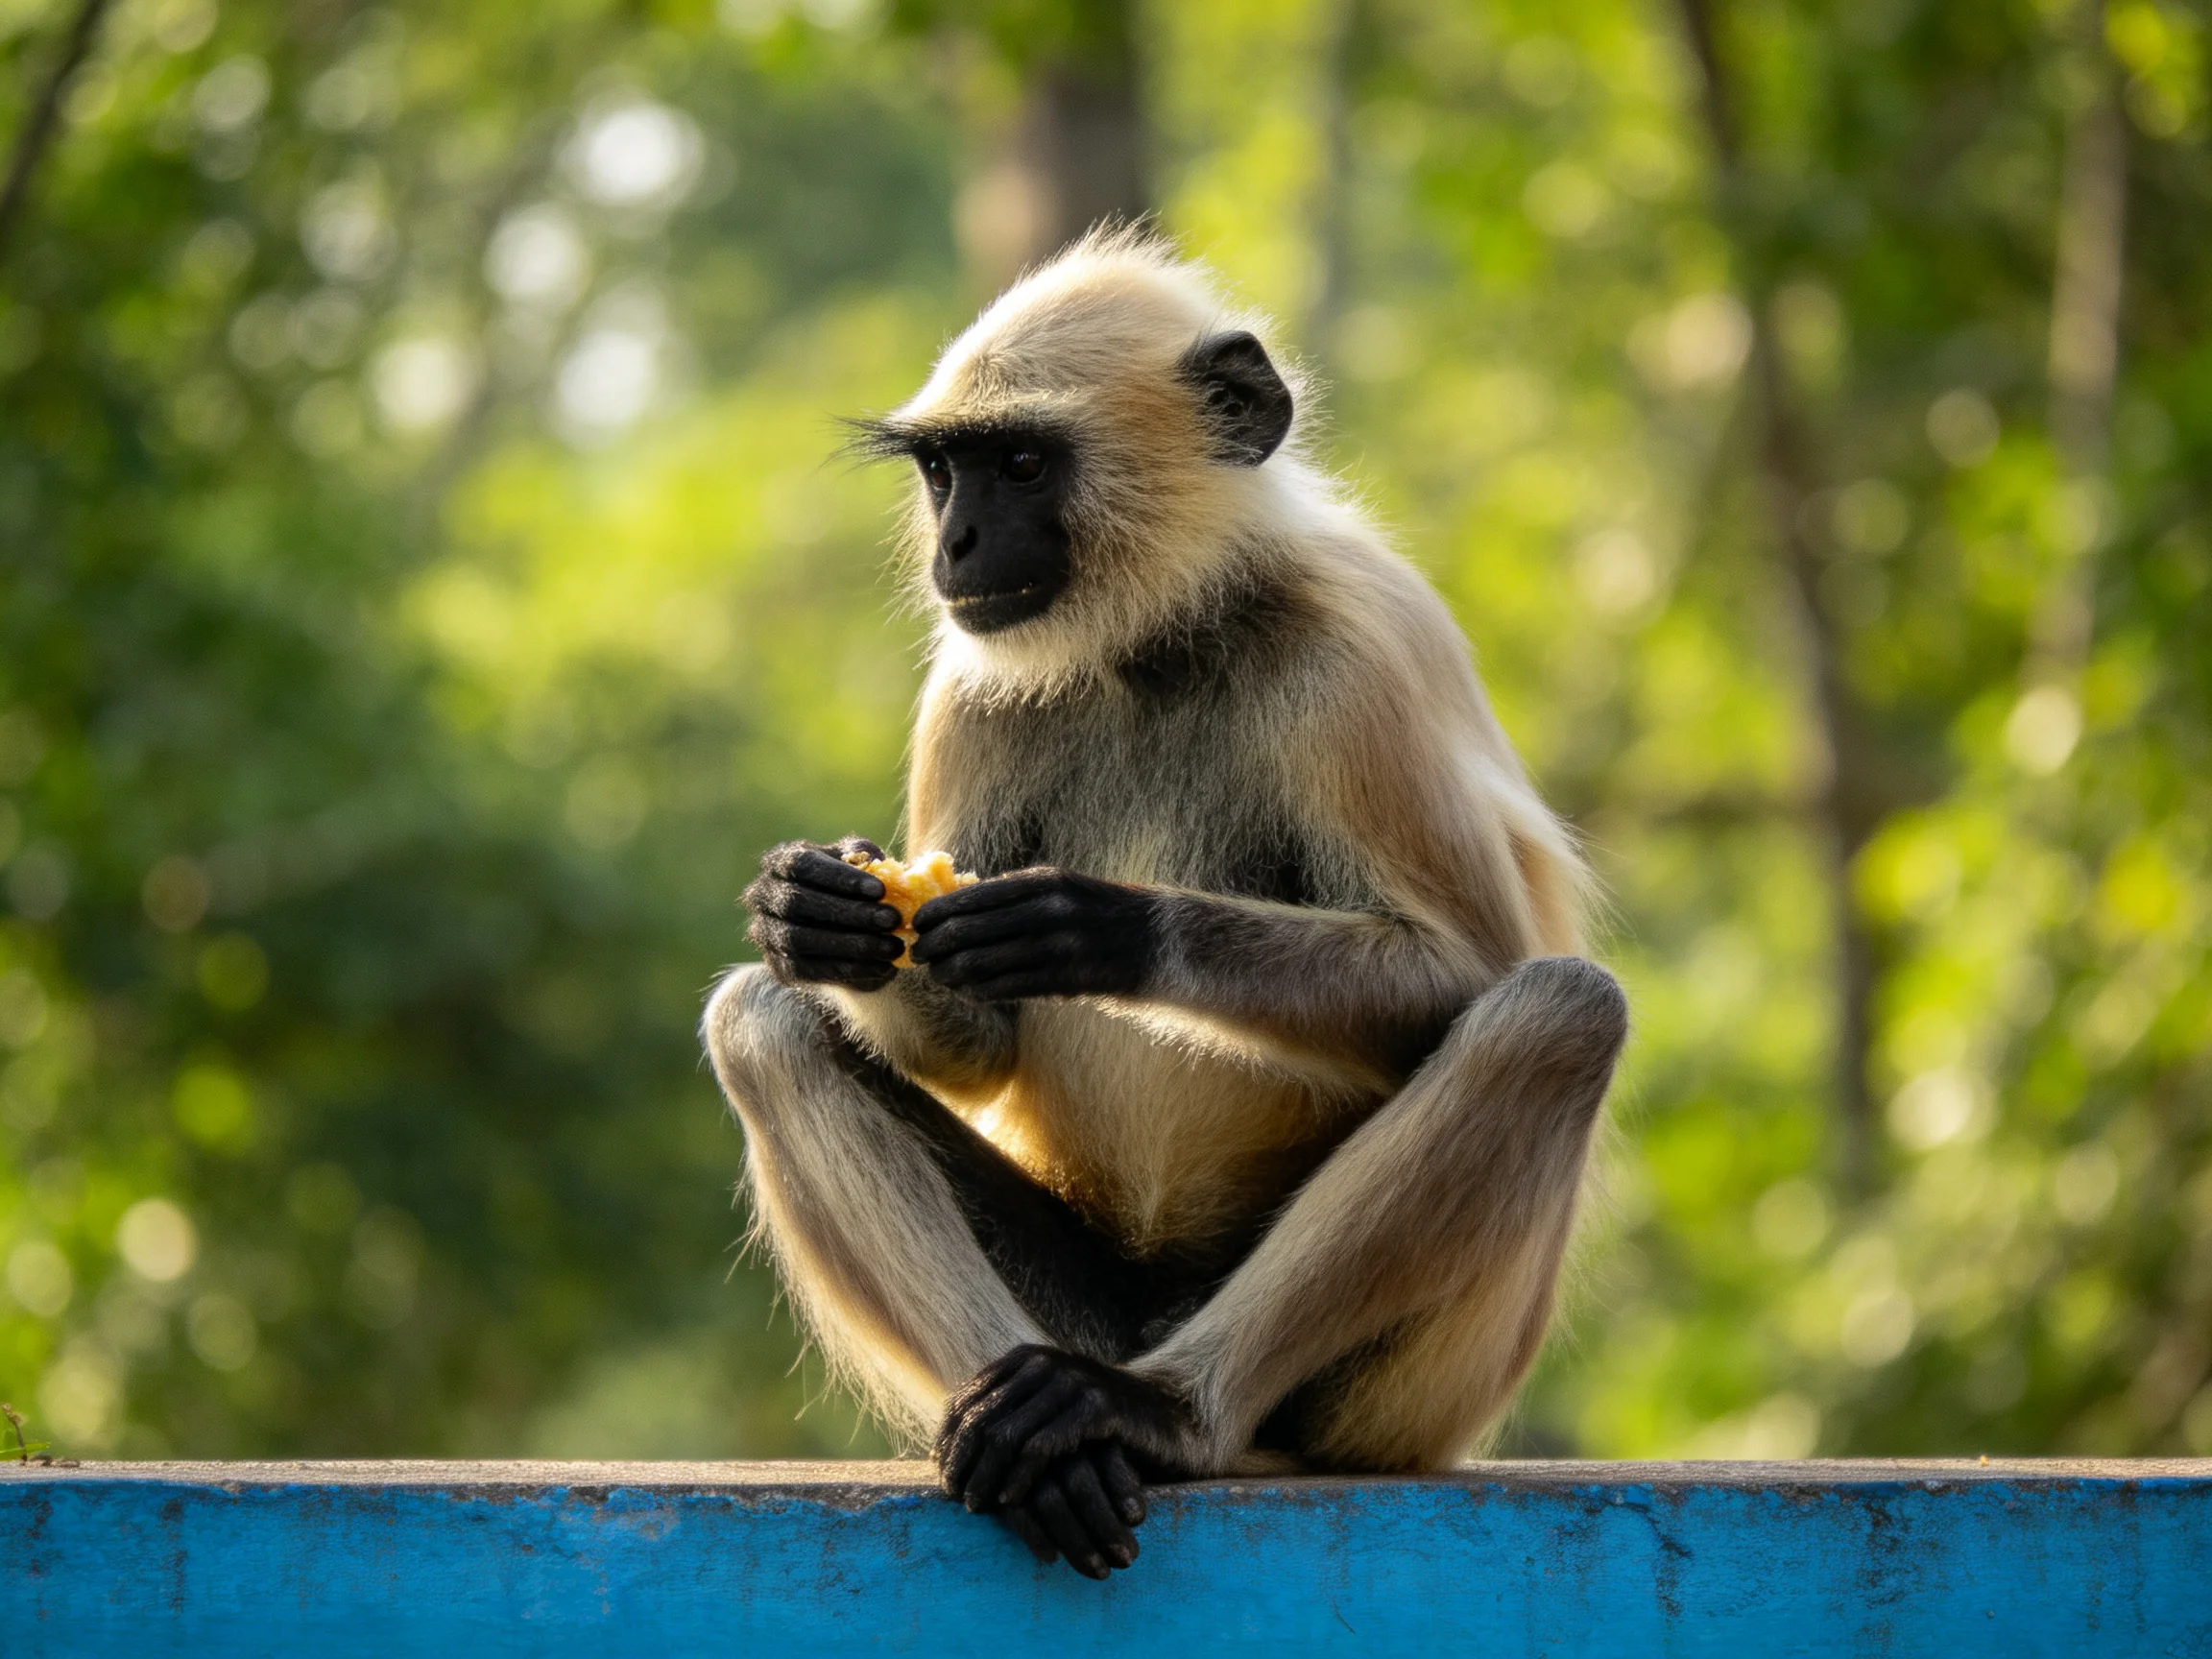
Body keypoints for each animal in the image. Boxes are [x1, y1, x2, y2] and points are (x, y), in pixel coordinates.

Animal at [703, 229, 1627, 1579]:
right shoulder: (972, 690)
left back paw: (1162, 1416)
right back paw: (1025, 1429)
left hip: (1419, 1392)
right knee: (757, 1022)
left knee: (1557, 1011)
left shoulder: (1359, 659)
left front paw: (1102, 928)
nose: (957, 547)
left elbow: (1470, 967)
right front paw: (814, 916)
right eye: (943, 471)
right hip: (1087, 1308)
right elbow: (970, 1045)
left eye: (1021, 464)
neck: (1163, 639)